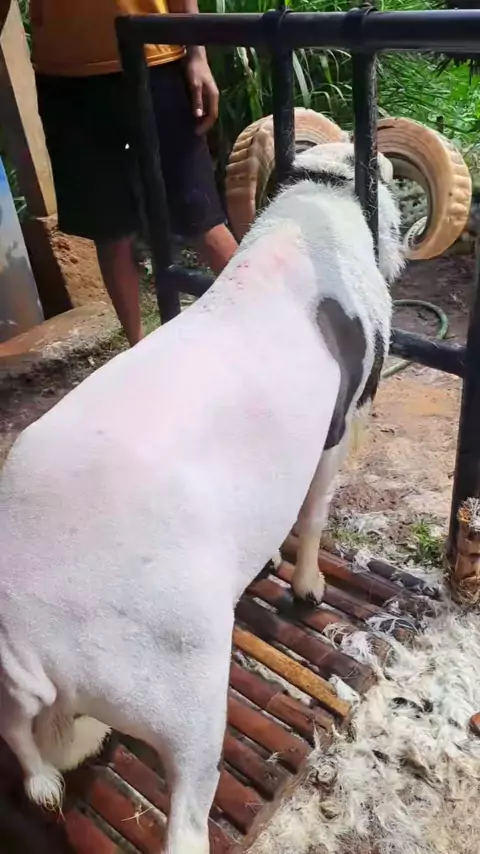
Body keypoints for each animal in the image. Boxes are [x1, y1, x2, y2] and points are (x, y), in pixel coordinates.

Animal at [0, 141, 403, 853]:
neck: (313, 216)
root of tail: (35, 641)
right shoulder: (339, 425)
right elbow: (315, 509)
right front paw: (307, 591)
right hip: (184, 691)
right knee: (186, 818)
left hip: (17, 689)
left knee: (16, 734)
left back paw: (47, 786)